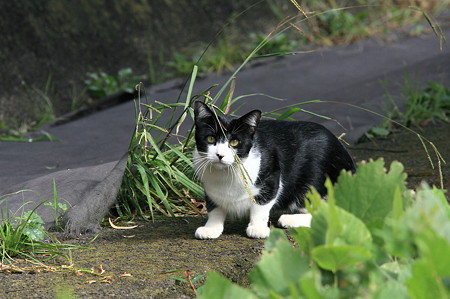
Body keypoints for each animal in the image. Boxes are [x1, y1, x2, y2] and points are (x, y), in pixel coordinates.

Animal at [192, 102, 356, 240]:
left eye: (234, 142)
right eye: (211, 139)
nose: (220, 155)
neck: (226, 173)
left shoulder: (271, 177)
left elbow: (261, 205)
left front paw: (257, 228)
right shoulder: (210, 190)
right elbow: (214, 208)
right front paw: (211, 228)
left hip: (315, 182)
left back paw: (289, 219)